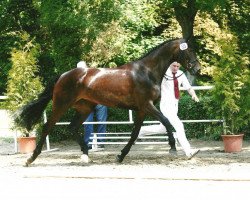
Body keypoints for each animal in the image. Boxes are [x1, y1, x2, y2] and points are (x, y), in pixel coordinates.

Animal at [14, 37, 200, 166]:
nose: (197, 68)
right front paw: (172, 148)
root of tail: (63, 75)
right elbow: (167, 122)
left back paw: (85, 155)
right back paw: (31, 159)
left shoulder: (141, 110)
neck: (146, 71)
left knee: (72, 127)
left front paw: (120, 156)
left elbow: (135, 134)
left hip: (85, 108)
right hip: (61, 105)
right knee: (47, 127)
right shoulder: (147, 105)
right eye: (189, 50)